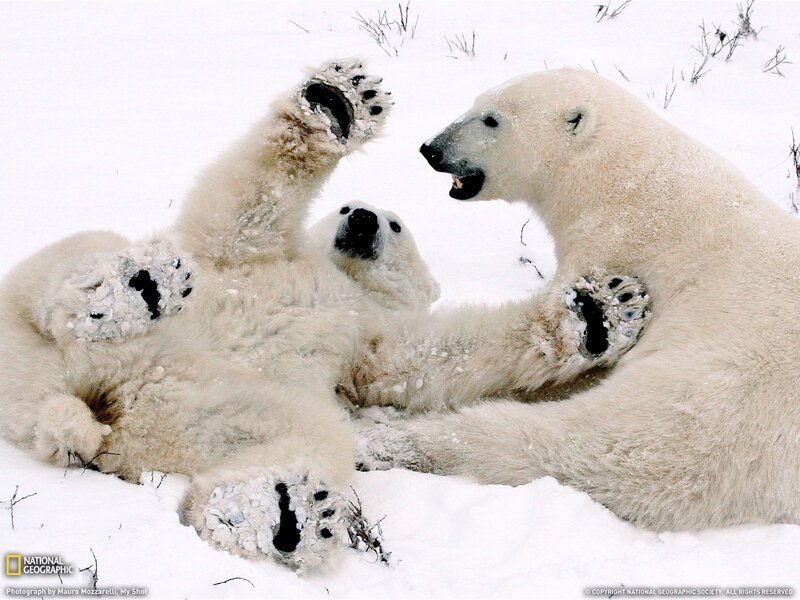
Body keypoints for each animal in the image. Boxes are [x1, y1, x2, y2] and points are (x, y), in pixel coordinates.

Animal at [355, 67, 800, 532]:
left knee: (587, 445)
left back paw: (390, 439)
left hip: (716, 395)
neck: (614, 173)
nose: (432, 149)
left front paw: (596, 318)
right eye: (476, 102)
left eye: (492, 120)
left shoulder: (619, 241)